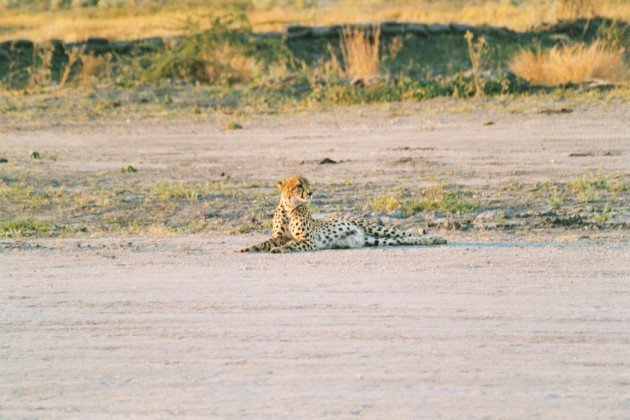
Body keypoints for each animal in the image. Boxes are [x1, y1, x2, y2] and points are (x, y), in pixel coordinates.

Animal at [239, 176, 446, 254]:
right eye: (299, 185)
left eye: (308, 183)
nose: (311, 193)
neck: (291, 208)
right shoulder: (278, 236)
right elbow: (263, 243)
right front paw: (246, 248)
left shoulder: (309, 241)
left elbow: (291, 244)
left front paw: (279, 249)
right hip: (375, 240)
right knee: (403, 239)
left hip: (374, 228)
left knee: (407, 233)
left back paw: (436, 238)